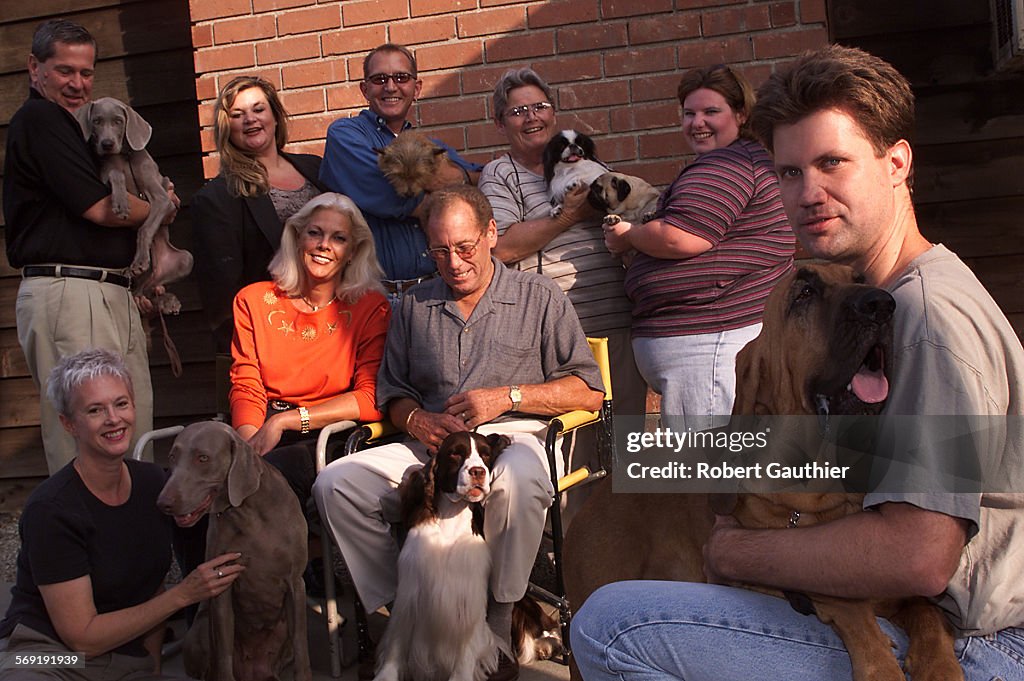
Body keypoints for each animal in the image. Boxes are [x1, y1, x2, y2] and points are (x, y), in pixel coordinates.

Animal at [76, 96, 193, 315]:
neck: (124, 156)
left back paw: (167, 299)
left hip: (185, 260)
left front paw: (140, 260)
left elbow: (145, 229)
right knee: (140, 293)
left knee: (148, 289)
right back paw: (164, 300)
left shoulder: (163, 199)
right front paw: (121, 203)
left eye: (118, 121)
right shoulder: (104, 175)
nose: (107, 144)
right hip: (136, 279)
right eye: (96, 121)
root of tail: (158, 270)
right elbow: (116, 174)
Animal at [156, 419, 311, 679]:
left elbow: (301, 646)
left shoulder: (295, 583)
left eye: (203, 458)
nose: (163, 504)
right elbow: (223, 652)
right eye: (171, 457)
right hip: (199, 630)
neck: (248, 513)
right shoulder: (221, 587)